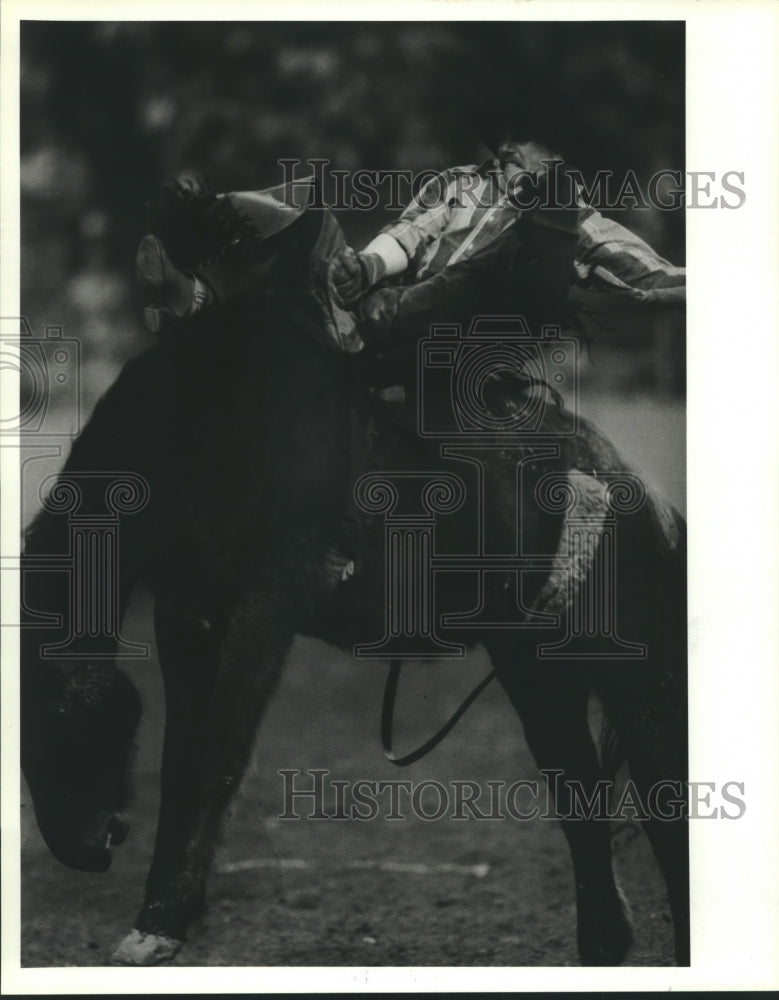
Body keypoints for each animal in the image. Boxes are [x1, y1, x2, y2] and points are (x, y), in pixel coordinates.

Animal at [19, 197, 688, 968]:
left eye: (58, 710)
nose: (86, 848)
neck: (207, 428)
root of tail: (646, 494)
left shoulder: (268, 601)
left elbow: (216, 753)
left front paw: (158, 920)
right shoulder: (186, 611)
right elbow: (180, 756)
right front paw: (170, 912)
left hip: (638, 670)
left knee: (664, 801)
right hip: (535, 668)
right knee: (576, 789)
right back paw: (604, 943)